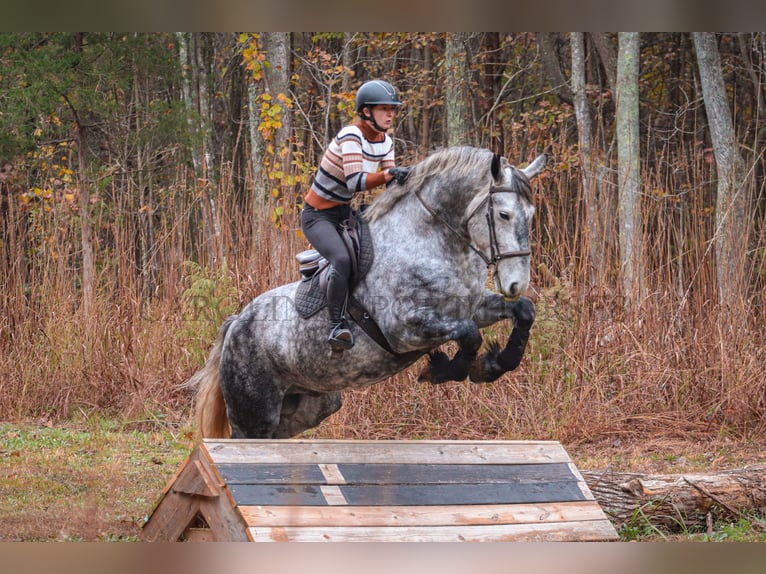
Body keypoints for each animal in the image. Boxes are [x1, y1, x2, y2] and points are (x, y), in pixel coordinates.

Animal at [192, 146, 552, 438]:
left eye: (531, 215)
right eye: (504, 214)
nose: (517, 283)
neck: (432, 242)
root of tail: (237, 324)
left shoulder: (473, 307)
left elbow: (523, 311)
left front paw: (495, 364)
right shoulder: (404, 329)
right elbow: (469, 335)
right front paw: (446, 370)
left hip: (308, 407)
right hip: (255, 413)